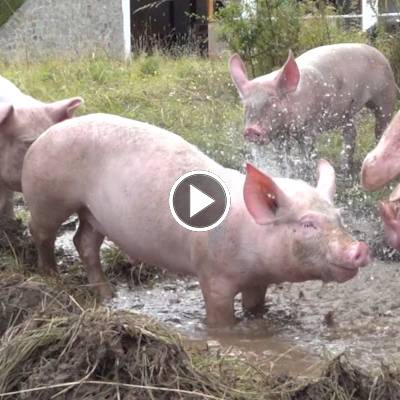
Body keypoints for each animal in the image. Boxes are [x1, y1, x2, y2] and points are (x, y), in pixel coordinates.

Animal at [21, 114, 370, 326]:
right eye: (308, 224)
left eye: (339, 217)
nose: (360, 249)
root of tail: (42, 137)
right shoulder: (213, 274)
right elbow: (220, 316)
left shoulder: (258, 279)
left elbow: (255, 307)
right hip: (47, 197)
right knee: (41, 232)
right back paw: (51, 277)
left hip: (93, 212)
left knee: (84, 241)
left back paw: (109, 296)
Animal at [230, 43, 398, 172]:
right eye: (246, 105)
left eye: (272, 101)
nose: (251, 130)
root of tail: (382, 56)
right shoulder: (278, 134)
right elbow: (281, 157)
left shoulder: (309, 127)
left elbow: (306, 152)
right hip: (348, 111)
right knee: (350, 133)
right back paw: (344, 169)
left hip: (385, 96)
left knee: (381, 127)